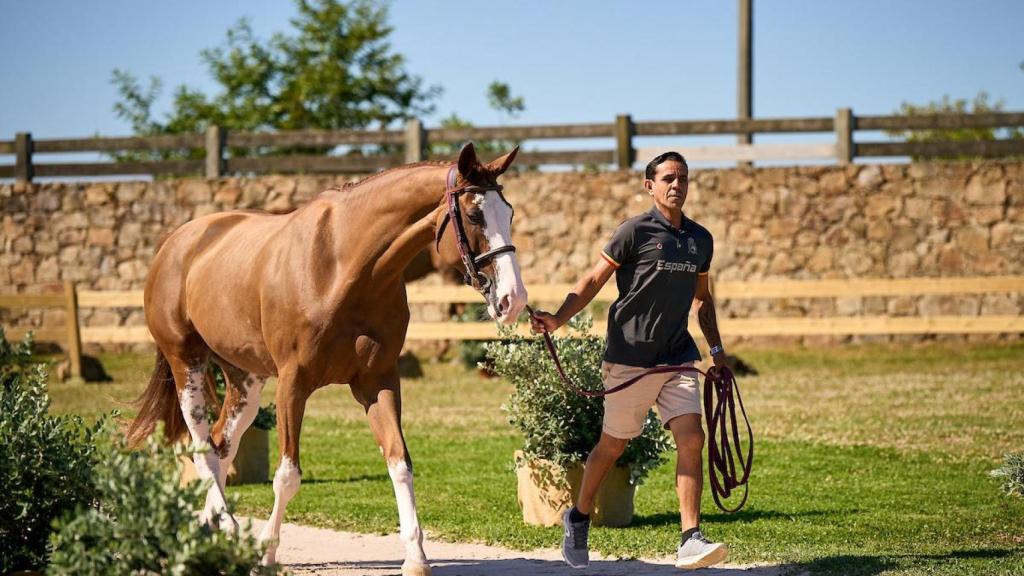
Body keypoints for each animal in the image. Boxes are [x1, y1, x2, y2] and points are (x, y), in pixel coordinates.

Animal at [126, 143, 527, 575]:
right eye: (474, 214)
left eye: (509, 213)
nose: (513, 299)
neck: (343, 268)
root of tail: (176, 242)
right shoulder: (293, 384)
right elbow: (287, 475)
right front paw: (266, 552)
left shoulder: (378, 382)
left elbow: (400, 463)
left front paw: (416, 557)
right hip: (186, 362)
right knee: (200, 447)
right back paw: (230, 528)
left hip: (244, 380)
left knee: (219, 446)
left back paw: (208, 535)